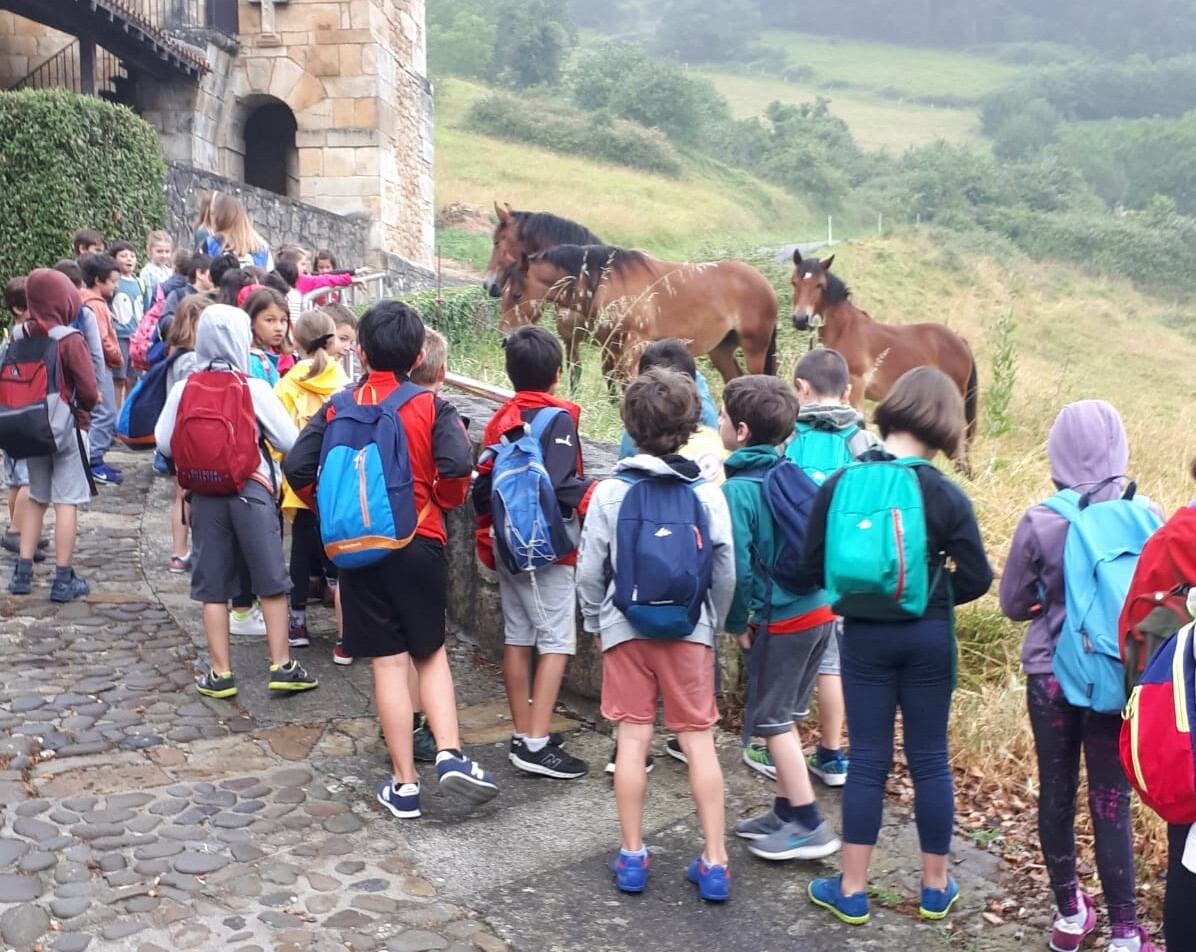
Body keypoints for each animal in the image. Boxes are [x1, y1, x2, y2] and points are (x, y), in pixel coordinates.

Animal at [499, 243, 779, 385]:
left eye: (517, 295)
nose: (505, 337)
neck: (606, 280)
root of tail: (766, 285)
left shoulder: (634, 345)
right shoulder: (611, 346)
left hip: (755, 348)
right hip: (721, 350)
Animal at [789, 248, 975, 471]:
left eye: (819, 285)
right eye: (794, 282)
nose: (801, 320)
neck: (844, 329)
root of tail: (960, 341)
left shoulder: (857, 384)